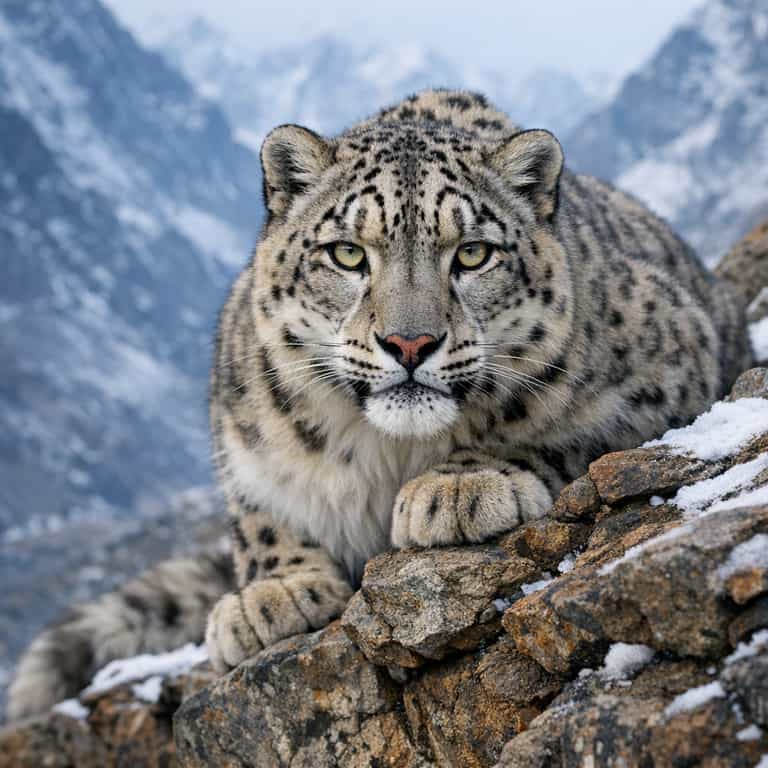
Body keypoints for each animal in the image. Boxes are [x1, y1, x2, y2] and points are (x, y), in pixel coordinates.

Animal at [7, 89, 754, 720]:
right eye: (347, 253)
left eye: (473, 253)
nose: (410, 342)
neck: (389, 452)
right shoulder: (238, 432)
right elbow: (257, 514)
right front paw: (270, 594)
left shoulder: (671, 368)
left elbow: (548, 424)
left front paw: (458, 488)